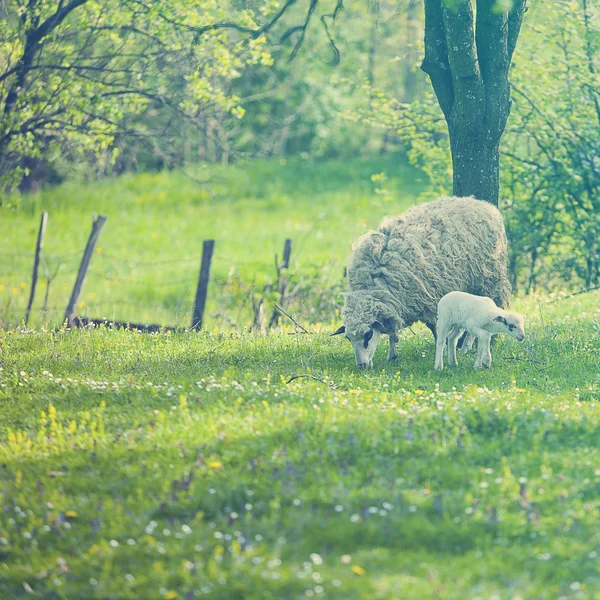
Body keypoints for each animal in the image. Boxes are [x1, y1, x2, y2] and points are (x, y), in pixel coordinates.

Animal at [332, 195, 510, 368]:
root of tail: (480, 203)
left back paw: (470, 345)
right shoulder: (396, 301)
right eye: (348, 338)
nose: (361, 365)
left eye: (368, 335)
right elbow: (392, 329)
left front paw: (441, 346)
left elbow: (432, 326)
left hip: (488, 279)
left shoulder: (427, 298)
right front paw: (392, 354)